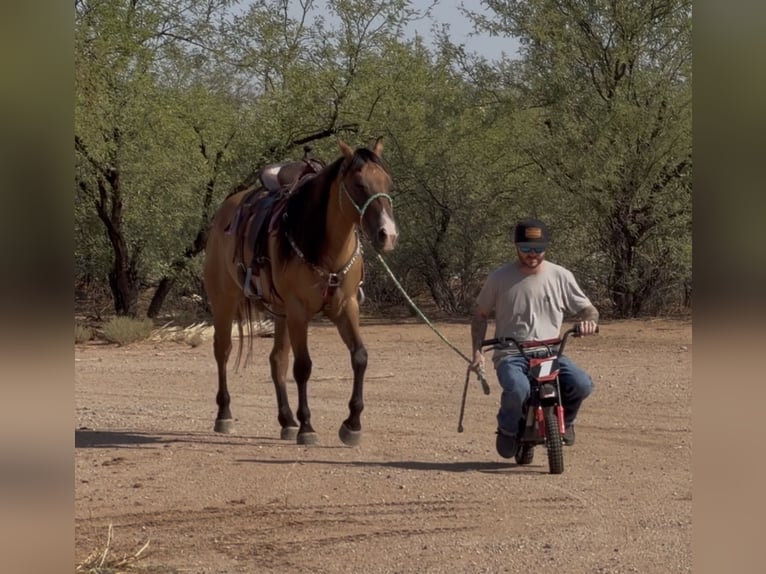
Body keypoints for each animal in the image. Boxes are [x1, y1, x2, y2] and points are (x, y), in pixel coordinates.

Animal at [203, 138, 398, 446]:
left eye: (387, 182)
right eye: (358, 184)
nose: (388, 235)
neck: (325, 249)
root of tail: (225, 209)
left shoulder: (346, 307)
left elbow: (360, 356)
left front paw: (352, 424)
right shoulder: (299, 311)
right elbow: (303, 367)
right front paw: (308, 426)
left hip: (281, 313)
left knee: (276, 361)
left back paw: (287, 421)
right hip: (225, 301)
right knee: (223, 351)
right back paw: (225, 415)